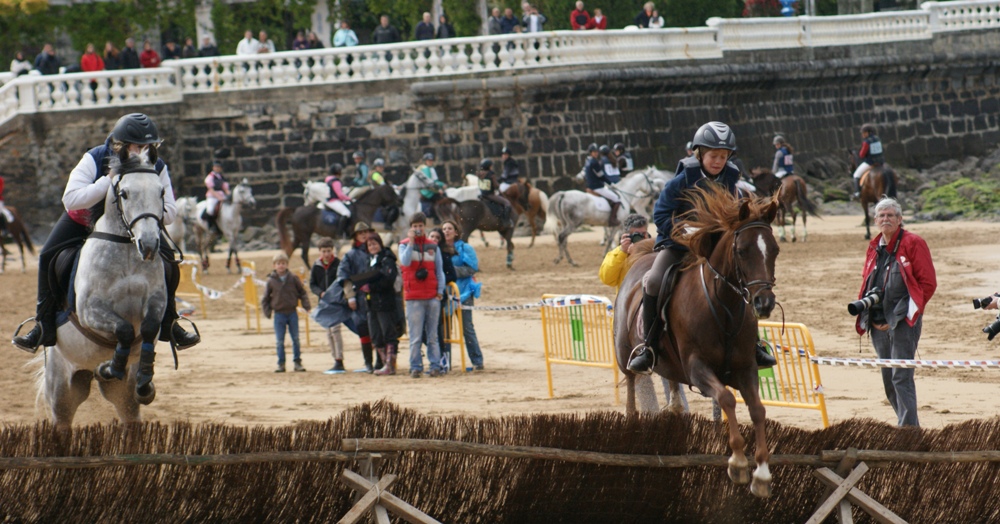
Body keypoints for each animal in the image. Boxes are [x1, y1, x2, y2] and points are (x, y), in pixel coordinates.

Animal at [38, 151, 168, 430]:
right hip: (62, 390)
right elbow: (124, 329)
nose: (149, 245)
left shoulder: (157, 301)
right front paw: (111, 367)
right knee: (62, 421)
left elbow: (149, 327)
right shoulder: (91, 311)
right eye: (124, 194)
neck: (127, 248)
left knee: (130, 414)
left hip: (121, 395)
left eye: (162, 191)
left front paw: (145, 380)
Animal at [608, 186, 780, 498]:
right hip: (625, 355)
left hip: (670, 366)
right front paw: (738, 463)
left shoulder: (745, 368)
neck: (723, 307)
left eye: (774, 249)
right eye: (741, 251)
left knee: (674, 393)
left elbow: (758, 409)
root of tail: (639, 256)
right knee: (631, 393)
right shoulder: (698, 369)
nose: (764, 303)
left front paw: (761, 474)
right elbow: (726, 399)